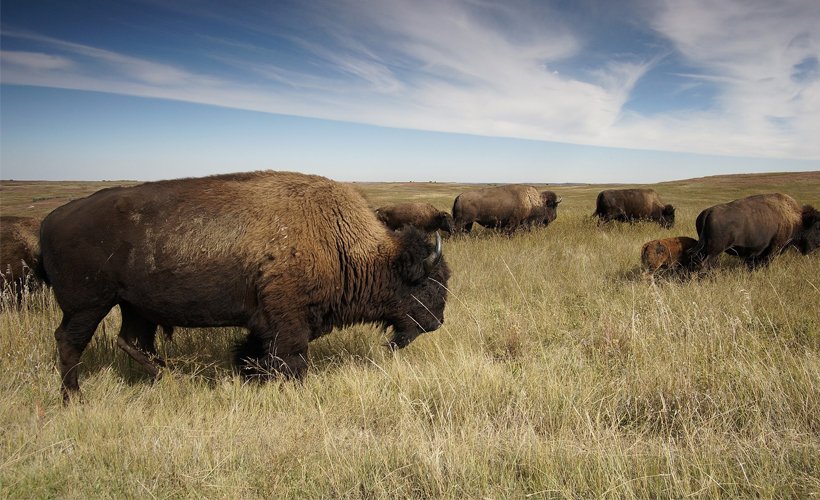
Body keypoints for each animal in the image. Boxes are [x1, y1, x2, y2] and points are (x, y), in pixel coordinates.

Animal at [40, 171, 451, 402]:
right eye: (429, 284)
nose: (437, 323)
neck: (339, 239)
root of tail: (52, 218)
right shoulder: (288, 321)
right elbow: (291, 358)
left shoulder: (263, 323)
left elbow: (254, 352)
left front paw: (249, 376)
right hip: (88, 305)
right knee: (70, 342)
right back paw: (74, 398)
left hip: (136, 307)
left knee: (133, 341)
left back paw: (169, 379)